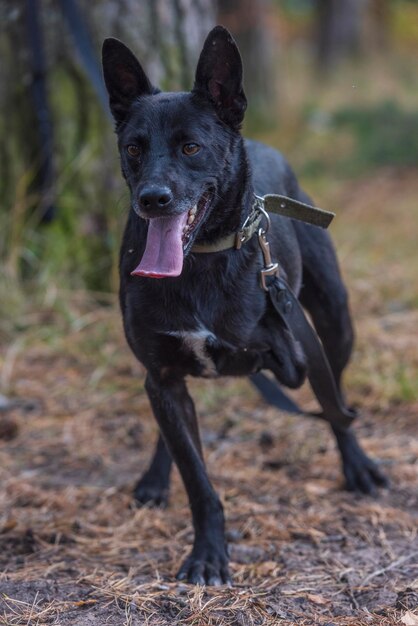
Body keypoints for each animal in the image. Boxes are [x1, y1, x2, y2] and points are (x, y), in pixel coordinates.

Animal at [102, 28, 388, 584]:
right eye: (133, 148)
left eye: (191, 147)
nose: (152, 198)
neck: (199, 262)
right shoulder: (162, 375)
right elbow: (198, 479)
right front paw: (208, 554)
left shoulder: (291, 353)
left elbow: (311, 384)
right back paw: (156, 476)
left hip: (335, 318)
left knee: (336, 398)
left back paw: (357, 464)